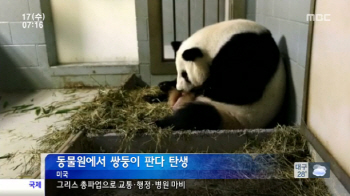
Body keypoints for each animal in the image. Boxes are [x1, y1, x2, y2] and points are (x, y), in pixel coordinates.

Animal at [154, 19, 286, 130]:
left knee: (199, 115)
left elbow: (242, 90)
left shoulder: (248, 50)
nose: (180, 89)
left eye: (185, 74)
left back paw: (160, 123)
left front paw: (204, 88)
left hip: (233, 115)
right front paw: (166, 84)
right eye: (178, 72)